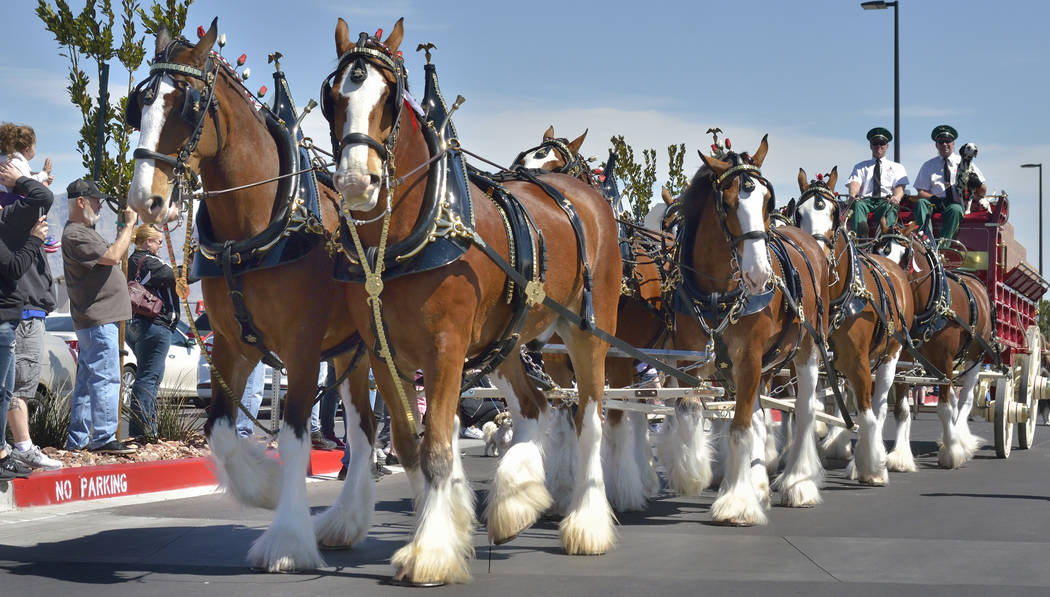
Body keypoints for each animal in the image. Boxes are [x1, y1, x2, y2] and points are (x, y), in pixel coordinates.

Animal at [127, 20, 426, 570]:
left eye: (187, 106)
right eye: (140, 104)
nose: (144, 199)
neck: (258, 227)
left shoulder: (302, 349)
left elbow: (293, 440)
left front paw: (287, 539)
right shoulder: (232, 346)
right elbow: (220, 433)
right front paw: (264, 488)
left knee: (398, 423)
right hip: (353, 350)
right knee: (365, 428)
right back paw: (347, 520)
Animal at [323, 18, 621, 583]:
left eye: (388, 98)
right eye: (332, 97)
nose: (354, 181)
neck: (405, 239)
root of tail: (584, 196)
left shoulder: (445, 350)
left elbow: (439, 447)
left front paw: (430, 551)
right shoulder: (382, 352)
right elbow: (409, 444)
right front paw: (442, 528)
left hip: (587, 331)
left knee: (589, 418)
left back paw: (588, 524)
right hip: (504, 343)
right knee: (535, 408)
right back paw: (515, 501)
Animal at [789, 165, 915, 482]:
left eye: (835, 213)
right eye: (798, 214)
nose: (815, 254)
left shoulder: (858, 361)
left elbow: (868, 412)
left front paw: (871, 466)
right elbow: (804, 408)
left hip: (891, 356)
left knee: (879, 405)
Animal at [873, 222, 995, 465]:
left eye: (903, 254)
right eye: (878, 250)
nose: (885, 280)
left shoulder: (945, 360)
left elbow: (944, 408)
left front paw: (952, 453)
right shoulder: (903, 361)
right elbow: (901, 409)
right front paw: (899, 456)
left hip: (974, 356)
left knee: (966, 399)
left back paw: (961, 439)